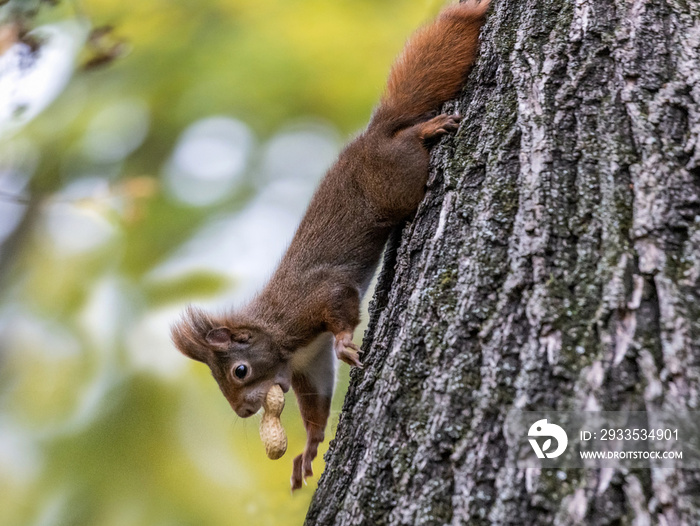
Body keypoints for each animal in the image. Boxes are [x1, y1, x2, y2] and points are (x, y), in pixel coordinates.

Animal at [172, 2, 490, 492]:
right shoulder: (308, 364)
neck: (278, 334)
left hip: (395, 181)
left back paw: (427, 128)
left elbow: (339, 305)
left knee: (407, 146)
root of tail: (373, 136)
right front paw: (310, 447)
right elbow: (316, 400)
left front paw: (345, 342)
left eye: (239, 371)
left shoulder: (315, 299)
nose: (244, 411)